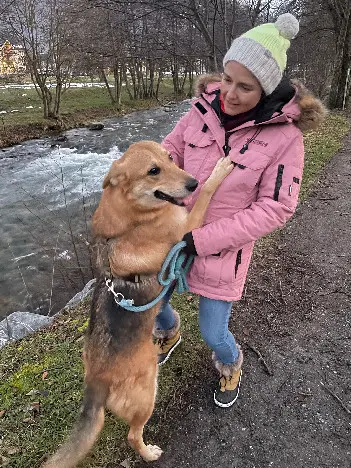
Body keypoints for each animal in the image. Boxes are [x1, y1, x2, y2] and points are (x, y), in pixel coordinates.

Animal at [42, 141, 234, 466]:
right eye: (153, 170)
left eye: (169, 158)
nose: (191, 182)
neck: (133, 216)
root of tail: (96, 380)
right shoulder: (187, 227)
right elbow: (207, 193)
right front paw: (217, 172)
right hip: (147, 394)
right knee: (133, 435)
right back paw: (149, 453)